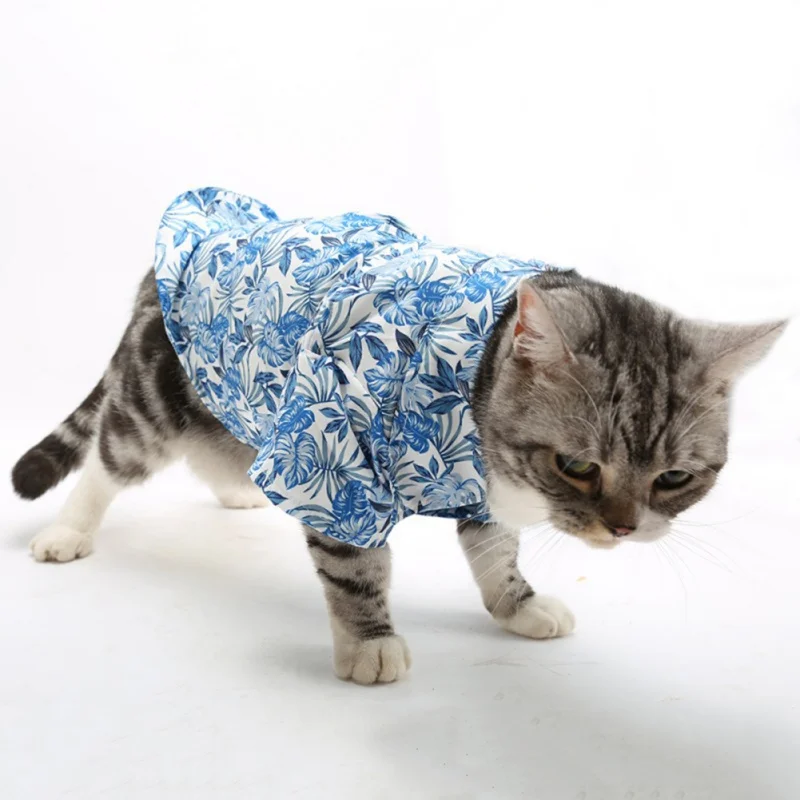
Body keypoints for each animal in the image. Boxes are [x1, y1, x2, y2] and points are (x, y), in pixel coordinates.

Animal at [11, 198, 786, 685]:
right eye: (576, 466)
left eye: (676, 478)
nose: (621, 530)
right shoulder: (335, 456)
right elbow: (357, 568)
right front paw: (369, 644)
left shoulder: (479, 484)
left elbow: (497, 554)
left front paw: (519, 604)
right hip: (158, 395)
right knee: (110, 458)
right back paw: (68, 531)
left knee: (221, 448)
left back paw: (240, 488)